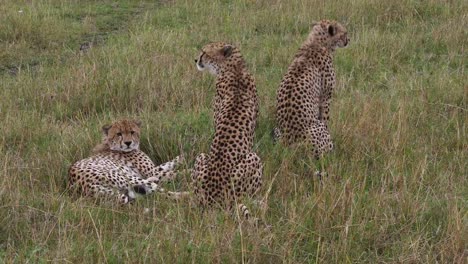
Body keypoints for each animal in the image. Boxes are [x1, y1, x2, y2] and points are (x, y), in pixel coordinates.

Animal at [276, 19, 350, 158]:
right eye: (344, 33)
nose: (348, 39)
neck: (317, 42)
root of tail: (290, 145)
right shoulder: (326, 98)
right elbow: (326, 119)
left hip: (277, 131)